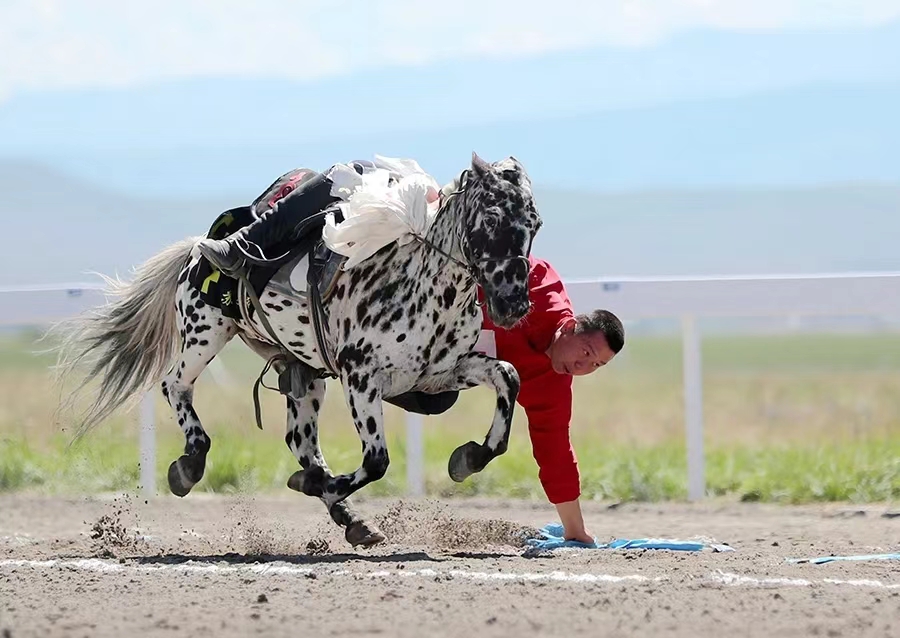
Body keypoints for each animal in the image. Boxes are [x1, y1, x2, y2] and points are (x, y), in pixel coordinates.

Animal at [54, 152, 540, 548]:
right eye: (492, 218)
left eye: (533, 224)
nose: (514, 304)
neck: (417, 282)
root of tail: (197, 248)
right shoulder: (360, 377)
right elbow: (377, 461)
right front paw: (315, 485)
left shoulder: (439, 373)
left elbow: (508, 376)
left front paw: (469, 457)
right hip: (206, 331)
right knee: (175, 386)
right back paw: (190, 463)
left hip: (303, 376)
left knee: (301, 441)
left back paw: (350, 518)